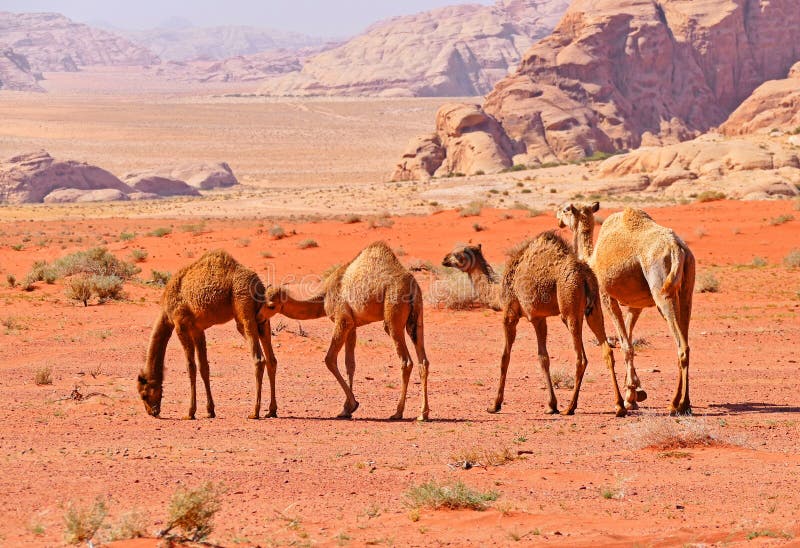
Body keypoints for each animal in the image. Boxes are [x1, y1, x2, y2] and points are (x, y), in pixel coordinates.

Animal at [262, 240, 428, 420]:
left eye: (271, 306)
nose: (258, 316)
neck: (324, 296)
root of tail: (412, 286)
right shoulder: (353, 325)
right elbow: (350, 364)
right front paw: (346, 409)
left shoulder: (343, 320)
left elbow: (329, 359)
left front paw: (352, 405)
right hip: (416, 317)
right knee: (423, 361)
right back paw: (423, 413)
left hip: (393, 315)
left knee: (406, 361)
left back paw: (398, 412)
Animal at [444, 230, 624, 416]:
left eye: (457, 254)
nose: (444, 259)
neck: (499, 292)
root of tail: (585, 275)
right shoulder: (538, 318)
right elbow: (543, 357)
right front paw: (551, 405)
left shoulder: (510, 313)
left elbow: (504, 357)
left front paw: (495, 405)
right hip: (594, 307)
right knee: (607, 351)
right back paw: (619, 406)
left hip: (569, 305)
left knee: (581, 358)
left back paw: (570, 407)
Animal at [556, 203, 692, 414]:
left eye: (565, 210)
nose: (557, 218)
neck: (591, 258)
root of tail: (676, 248)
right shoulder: (635, 305)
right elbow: (628, 340)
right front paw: (633, 394)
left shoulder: (605, 296)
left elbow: (625, 345)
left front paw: (629, 397)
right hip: (687, 288)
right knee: (685, 339)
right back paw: (685, 403)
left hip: (661, 289)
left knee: (681, 345)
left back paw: (676, 403)